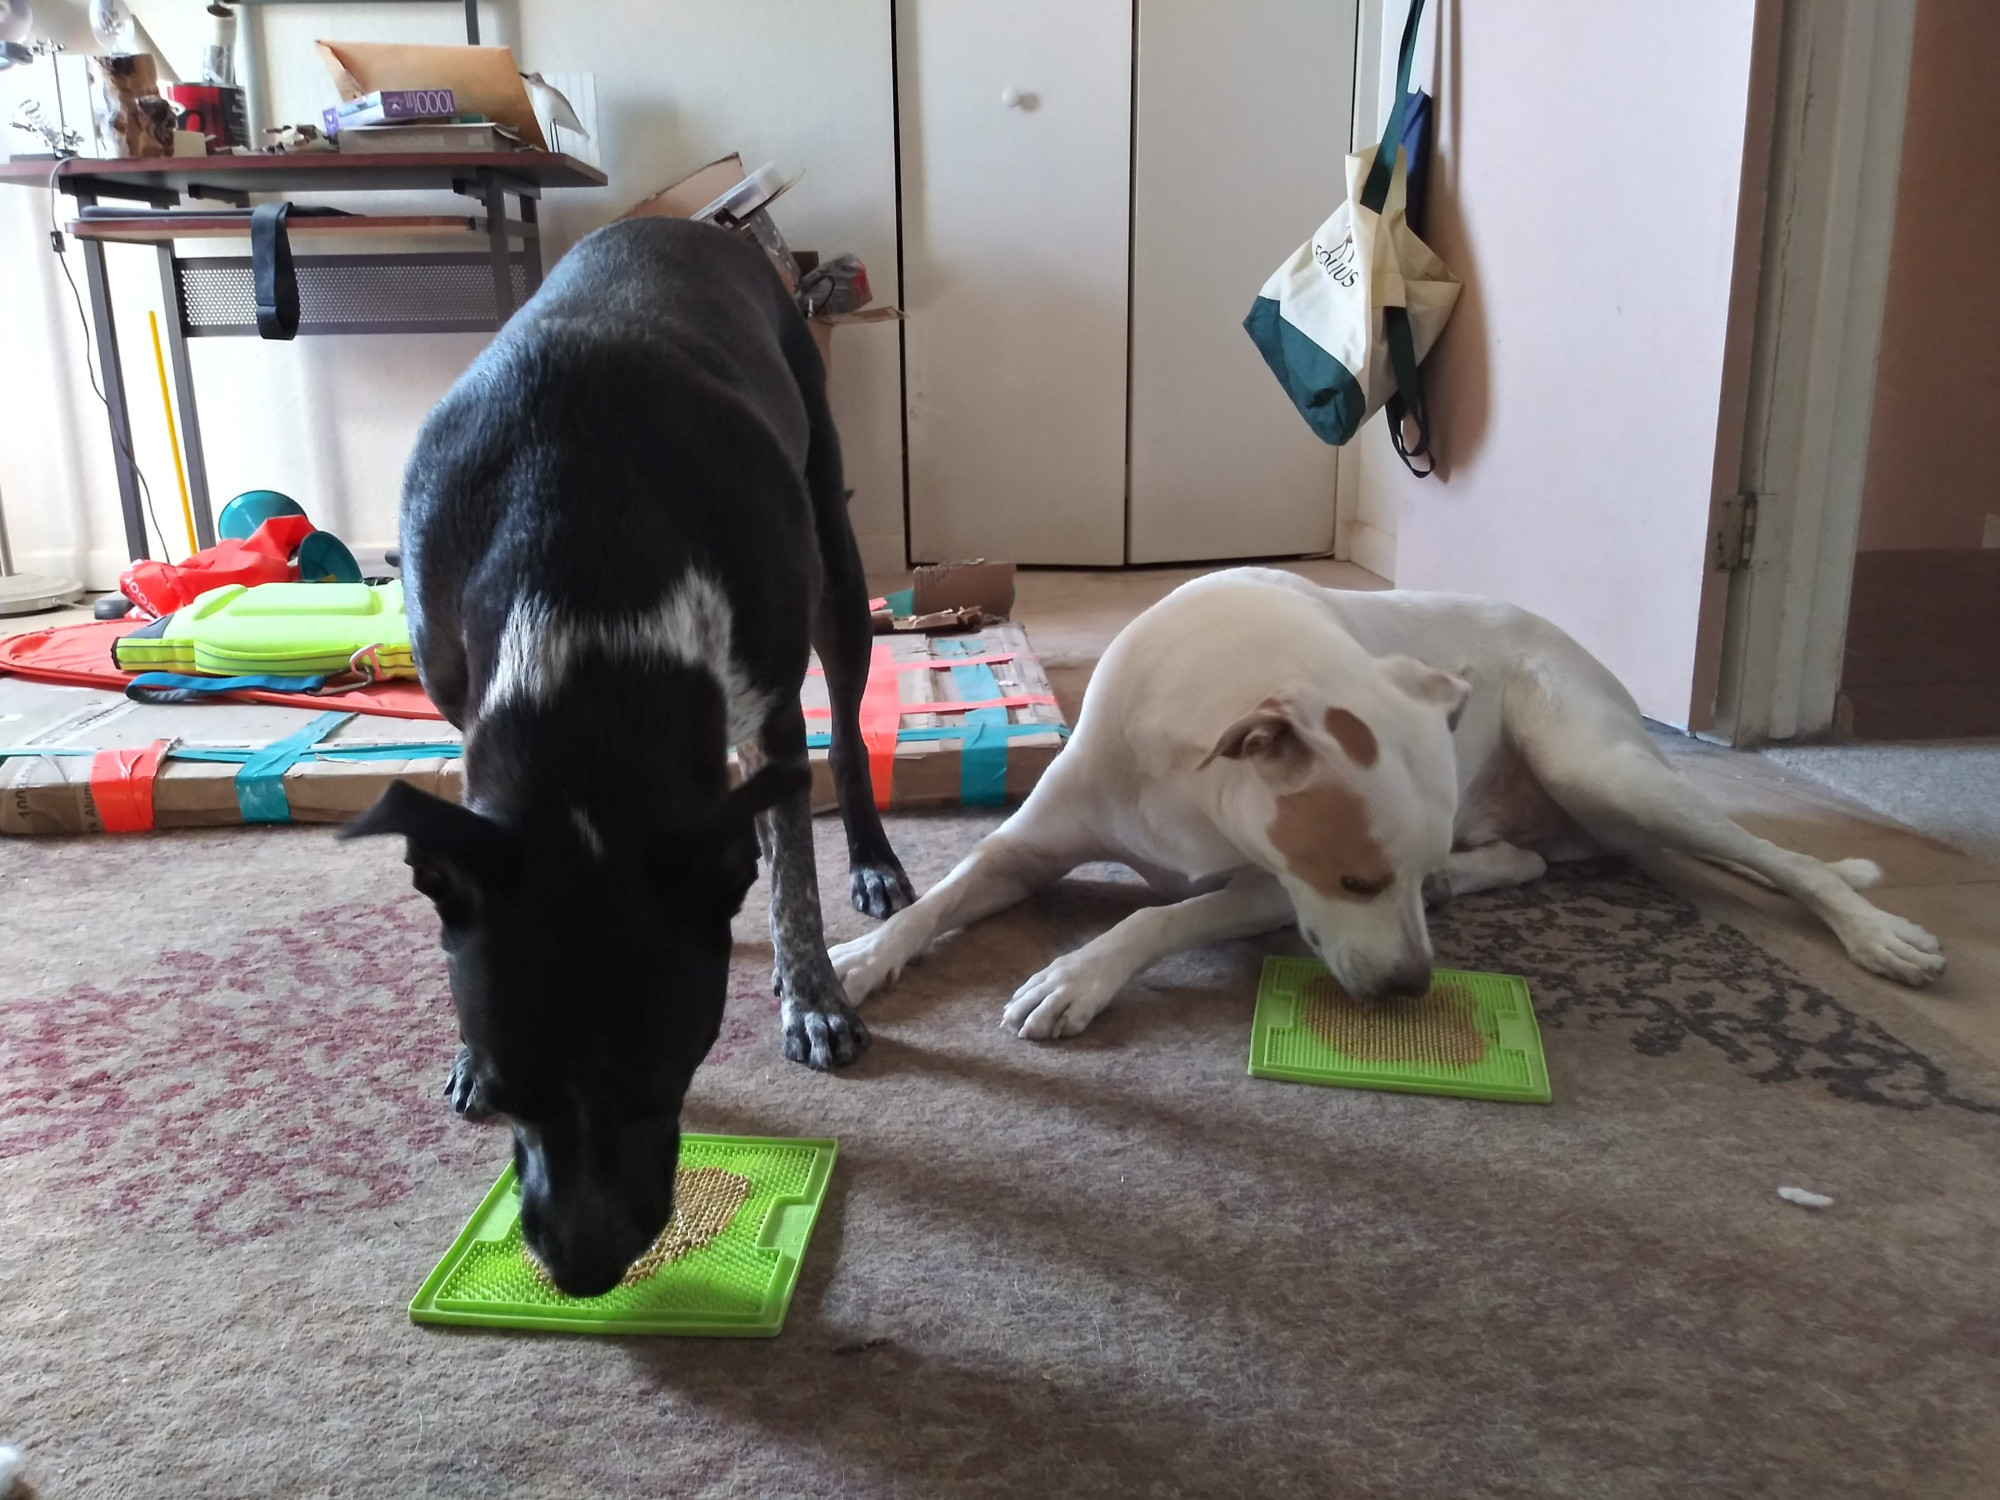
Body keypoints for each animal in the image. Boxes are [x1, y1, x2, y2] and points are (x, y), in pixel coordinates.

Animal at [342, 217, 916, 1296]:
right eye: (510, 1088)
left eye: (667, 1074)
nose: (582, 1270)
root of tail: (691, 225)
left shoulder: (771, 699)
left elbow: (794, 874)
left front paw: (813, 996)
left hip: (832, 545)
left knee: (847, 737)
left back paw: (866, 865)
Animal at [828, 568, 1936, 1040]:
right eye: (1359, 879)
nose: (1412, 987)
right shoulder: (1025, 847)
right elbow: (949, 889)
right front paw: (852, 959)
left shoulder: (1267, 889)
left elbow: (1159, 915)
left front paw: (1076, 975)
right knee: (1531, 858)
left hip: (1601, 766)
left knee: (1782, 861)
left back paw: (1878, 932)